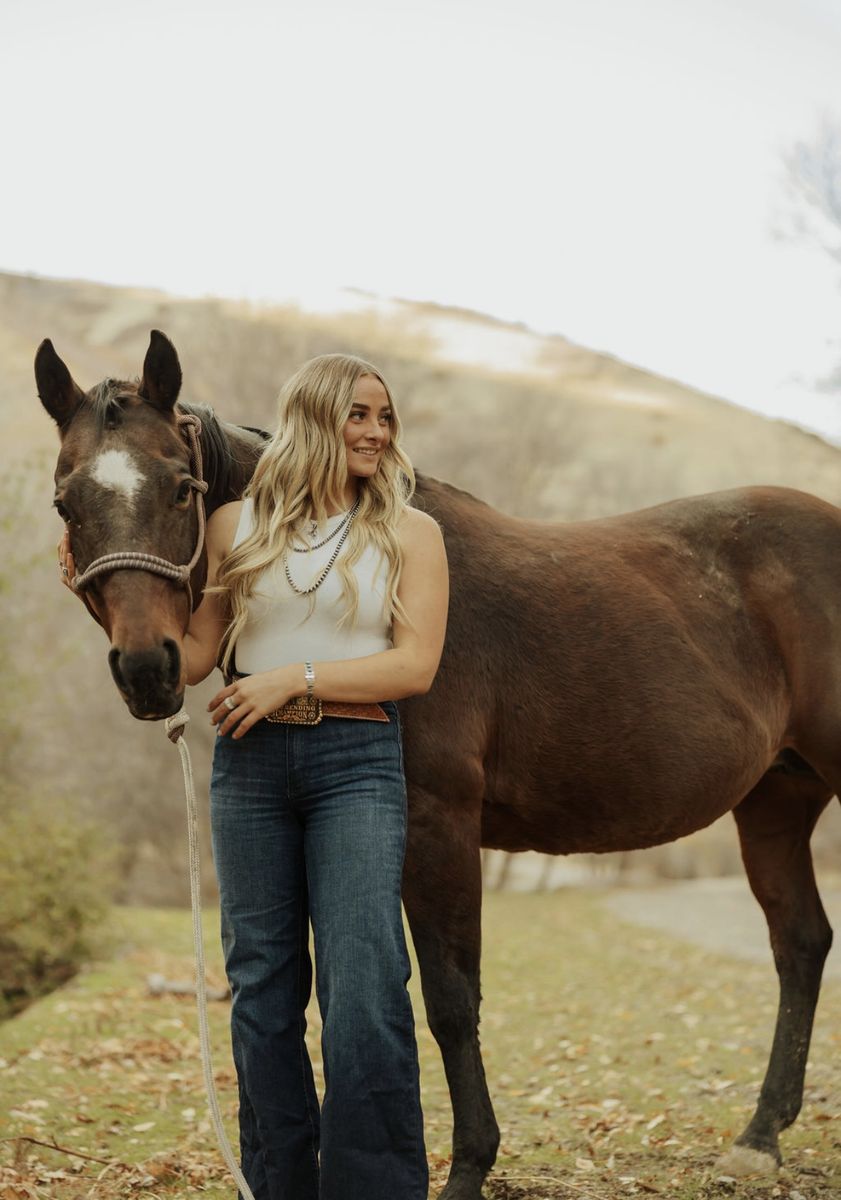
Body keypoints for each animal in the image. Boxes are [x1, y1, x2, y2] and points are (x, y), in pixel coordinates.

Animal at [37, 330, 838, 1198]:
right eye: (65, 503)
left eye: (181, 488)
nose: (148, 668)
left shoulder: (435, 827)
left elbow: (451, 1001)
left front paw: (466, 1168)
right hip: (774, 800)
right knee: (799, 943)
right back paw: (758, 1138)